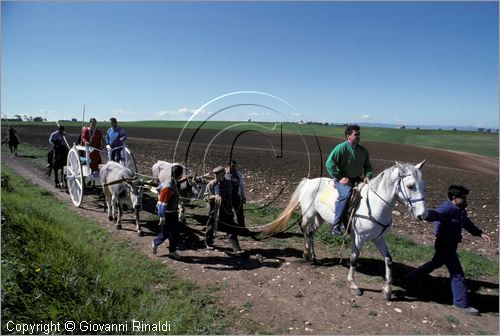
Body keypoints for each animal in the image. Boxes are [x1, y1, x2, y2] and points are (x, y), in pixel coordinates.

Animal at [260, 161, 428, 300]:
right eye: (411, 186)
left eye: (423, 185)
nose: (423, 215)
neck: (376, 204)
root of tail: (308, 181)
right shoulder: (359, 237)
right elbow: (354, 258)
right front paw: (353, 285)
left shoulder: (378, 238)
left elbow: (389, 260)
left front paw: (387, 290)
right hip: (309, 214)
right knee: (305, 230)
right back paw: (307, 255)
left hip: (320, 217)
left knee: (312, 232)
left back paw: (313, 256)